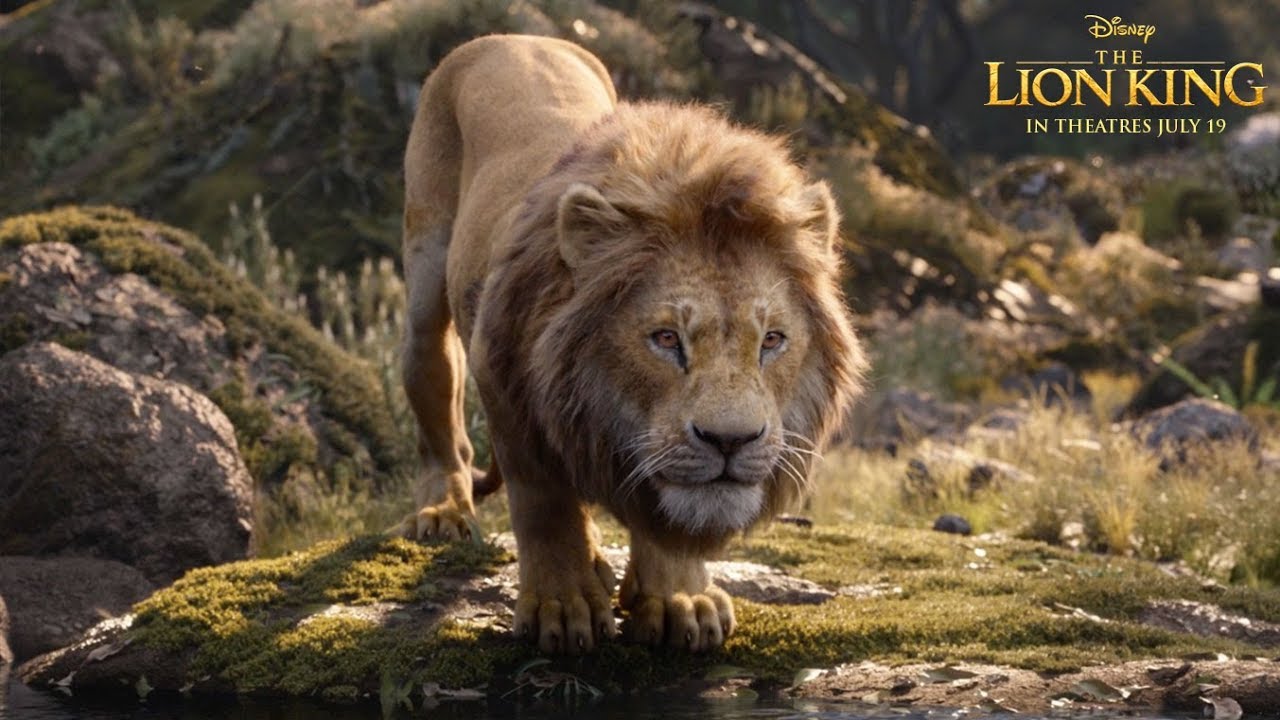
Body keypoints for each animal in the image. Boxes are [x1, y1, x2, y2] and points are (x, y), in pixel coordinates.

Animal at [400, 34, 865, 654]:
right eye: (666, 339)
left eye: (771, 341)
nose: (731, 441)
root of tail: (512, 37)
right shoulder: (499, 372)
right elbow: (544, 502)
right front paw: (561, 606)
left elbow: (668, 519)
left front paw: (677, 599)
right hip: (425, 284)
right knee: (440, 415)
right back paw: (443, 510)